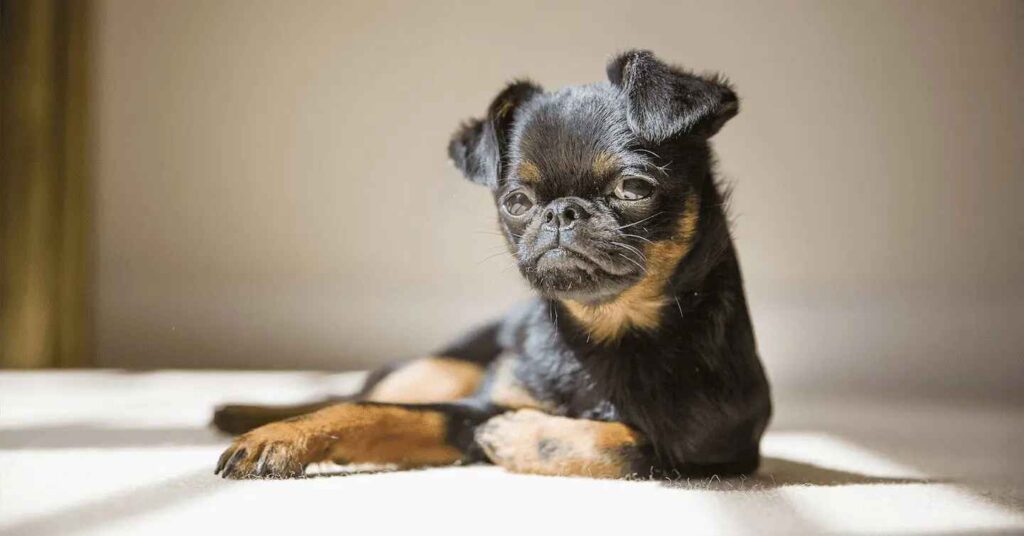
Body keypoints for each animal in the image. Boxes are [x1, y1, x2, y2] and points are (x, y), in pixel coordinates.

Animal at [211, 49, 770, 477]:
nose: (560, 212)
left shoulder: (717, 450)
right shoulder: (467, 408)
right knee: (355, 389)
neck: (604, 333)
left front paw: (521, 435)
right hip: (439, 369)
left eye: (634, 188)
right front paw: (278, 437)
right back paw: (241, 411)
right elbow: (371, 413)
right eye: (516, 202)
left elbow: (628, 442)